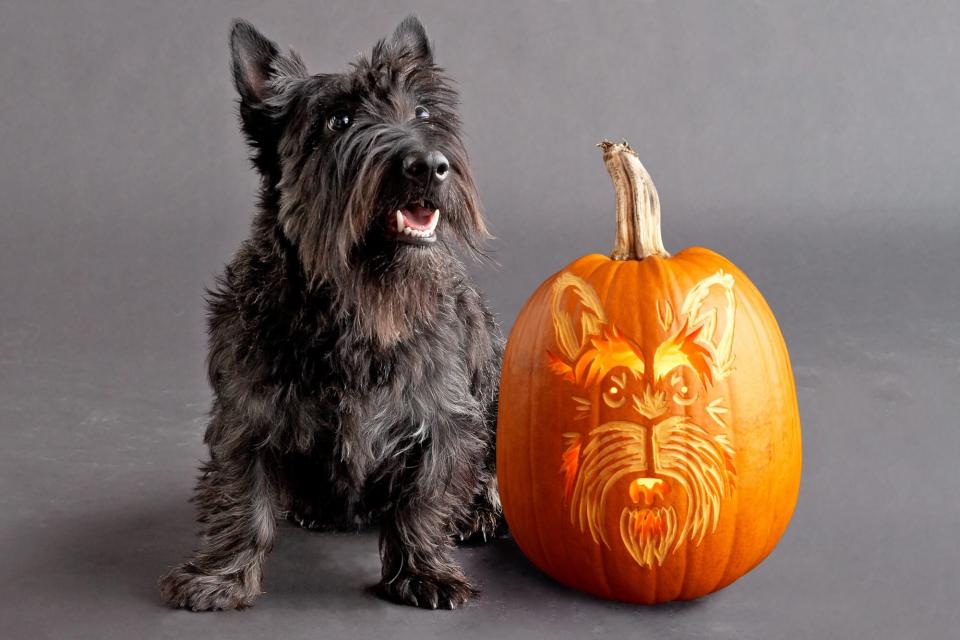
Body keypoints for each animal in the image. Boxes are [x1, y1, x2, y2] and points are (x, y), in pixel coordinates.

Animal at [159, 17, 502, 612]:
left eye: (423, 113)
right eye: (338, 120)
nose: (430, 166)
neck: (356, 305)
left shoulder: (444, 418)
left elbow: (425, 499)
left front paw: (424, 573)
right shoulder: (246, 416)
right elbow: (239, 501)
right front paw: (221, 577)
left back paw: (479, 512)